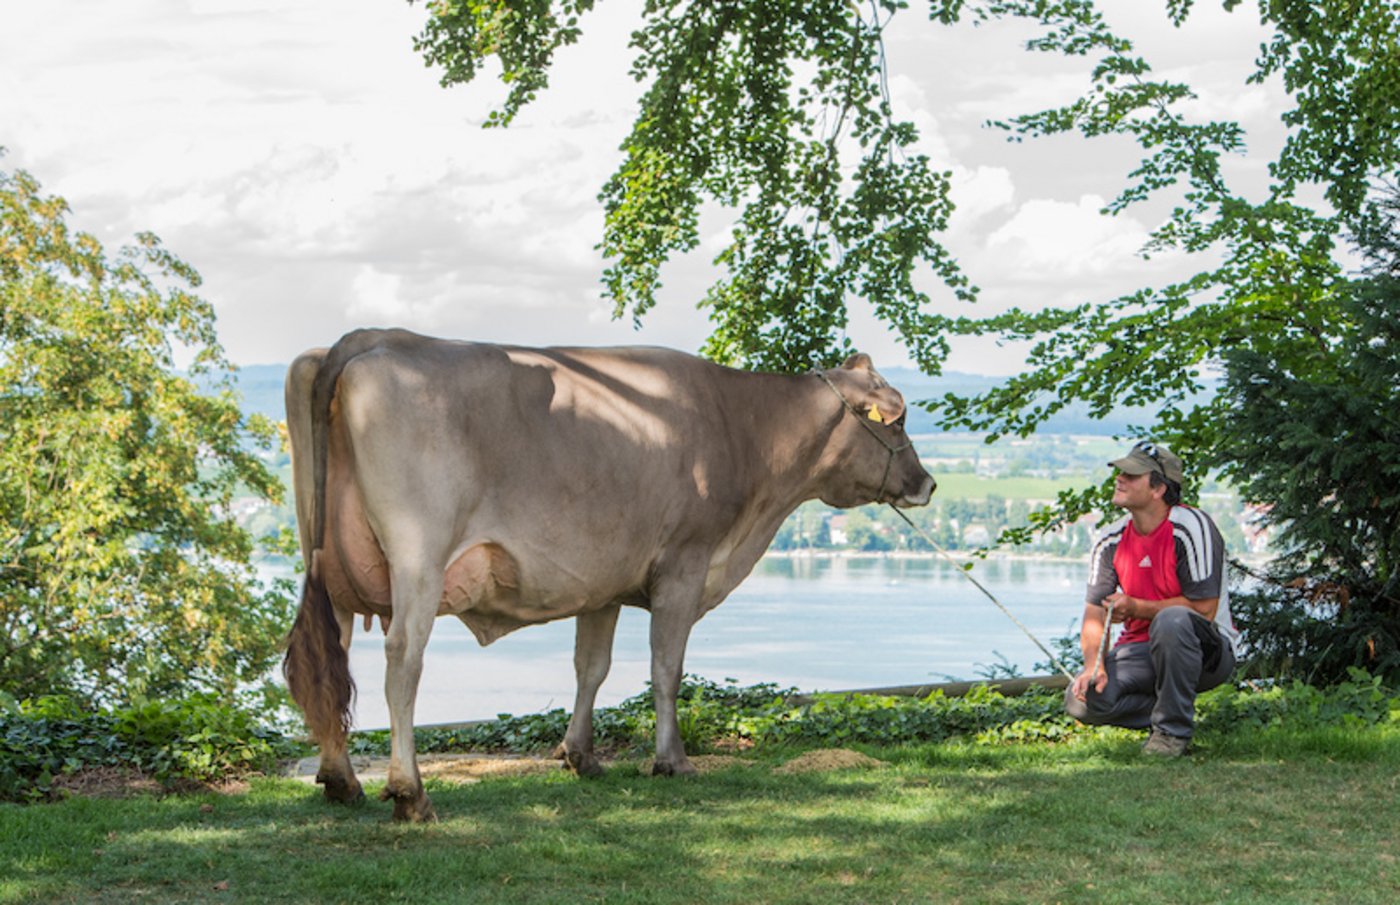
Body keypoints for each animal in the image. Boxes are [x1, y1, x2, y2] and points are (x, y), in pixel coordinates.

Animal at [282, 328, 934, 821]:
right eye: (898, 422)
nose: (926, 484)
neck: (744, 431)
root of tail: (374, 337)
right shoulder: (684, 564)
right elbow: (666, 670)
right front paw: (672, 761)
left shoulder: (603, 580)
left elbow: (590, 668)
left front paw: (581, 756)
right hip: (419, 556)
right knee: (402, 661)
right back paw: (411, 793)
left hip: (327, 561)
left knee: (333, 659)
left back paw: (342, 780)